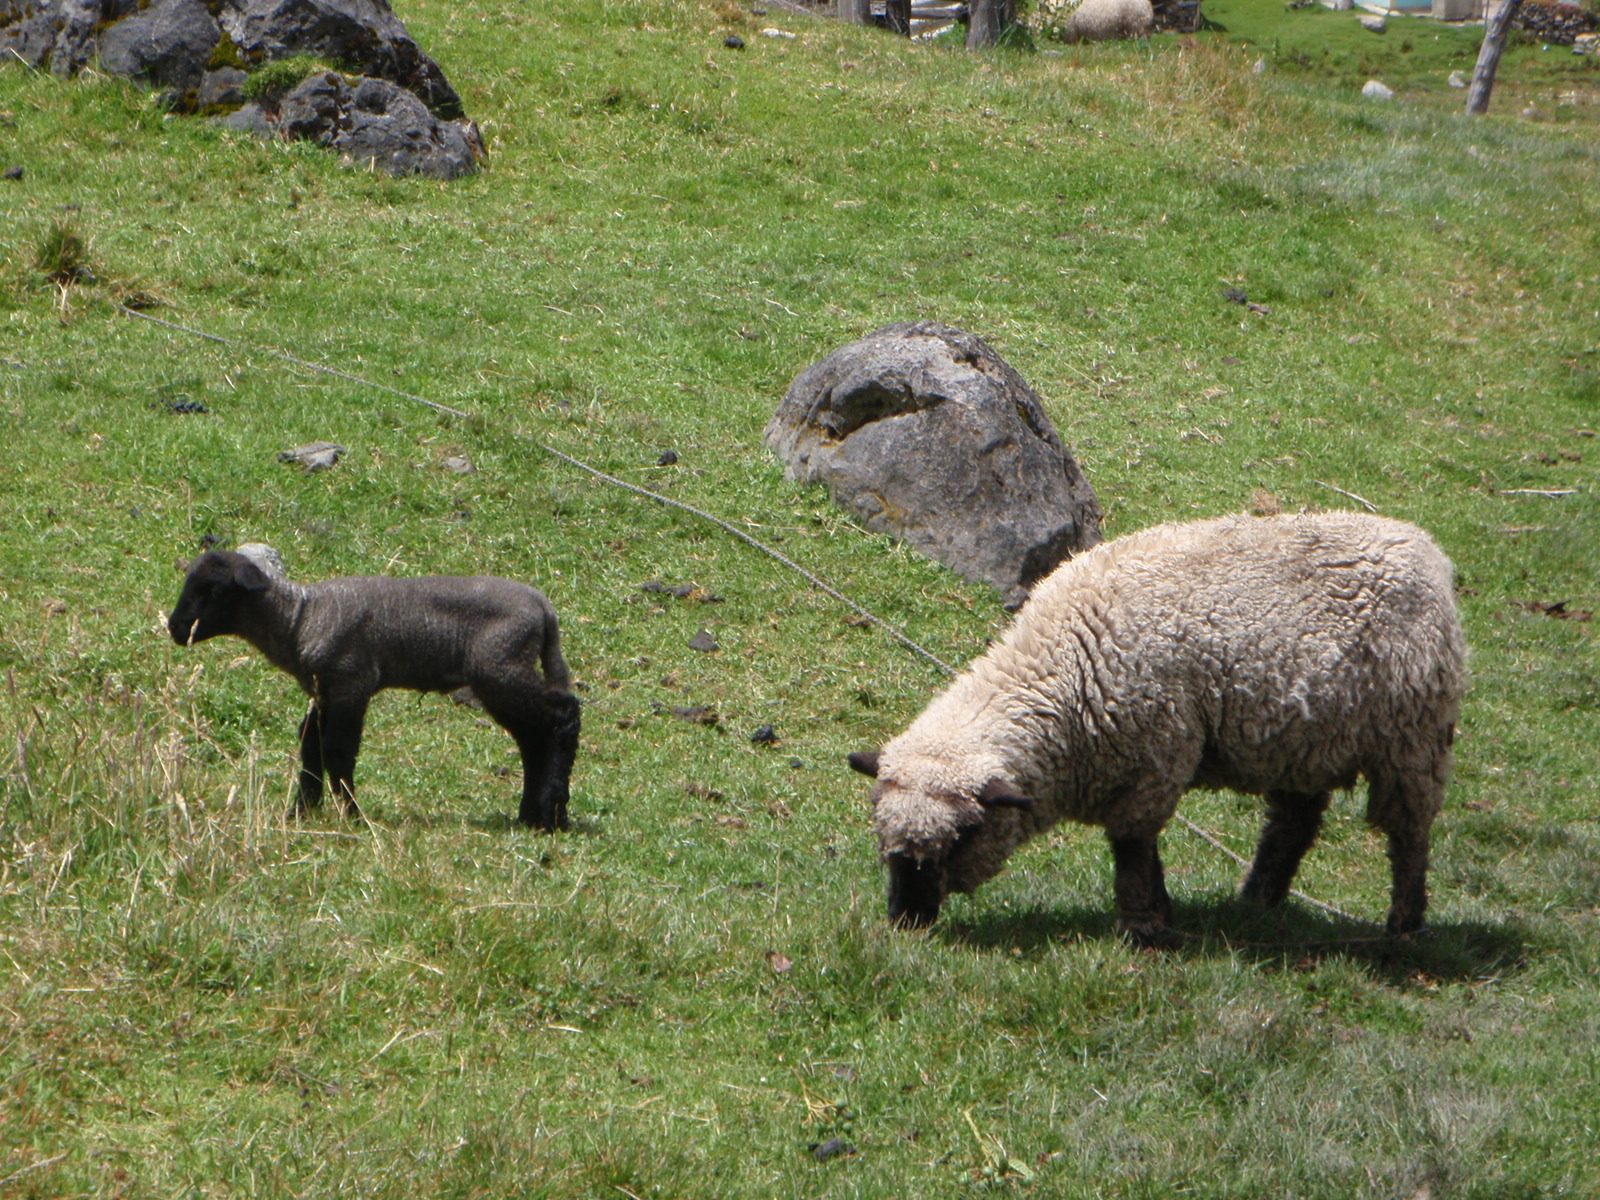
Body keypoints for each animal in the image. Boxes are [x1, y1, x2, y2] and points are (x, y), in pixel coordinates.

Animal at [168, 550, 580, 830]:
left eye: (213, 590)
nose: (175, 627)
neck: (299, 619)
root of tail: (544, 608)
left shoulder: (352, 682)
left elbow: (338, 751)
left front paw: (351, 815)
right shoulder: (324, 691)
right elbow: (310, 747)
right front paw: (302, 811)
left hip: (501, 667)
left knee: (563, 716)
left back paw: (554, 813)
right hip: (501, 677)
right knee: (533, 739)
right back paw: (531, 815)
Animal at [848, 512, 1466, 944]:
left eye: (962, 836)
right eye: (885, 844)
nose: (906, 921)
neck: (1068, 661)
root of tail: (1426, 550)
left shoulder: (1154, 758)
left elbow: (1132, 849)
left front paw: (1141, 926)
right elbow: (1144, 851)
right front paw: (1161, 914)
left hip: (1411, 738)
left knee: (1409, 834)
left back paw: (1403, 927)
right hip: (1304, 737)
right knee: (1295, 822)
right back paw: (1256, 902)